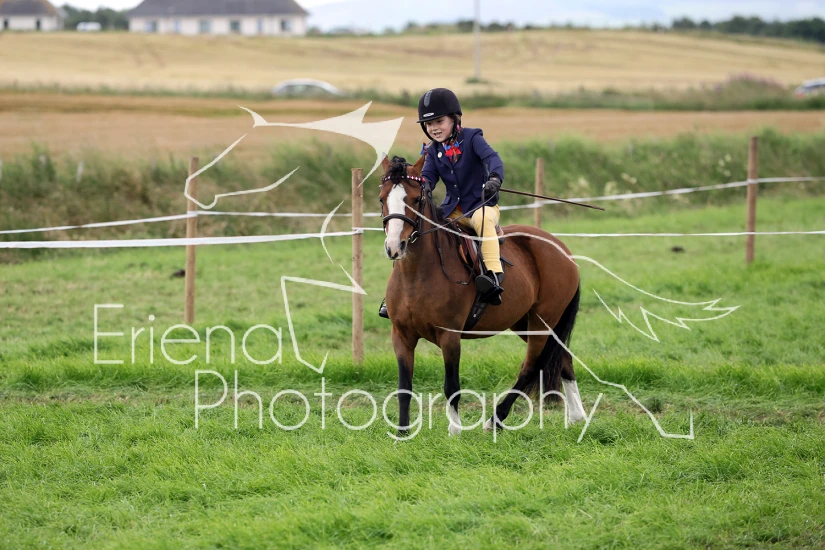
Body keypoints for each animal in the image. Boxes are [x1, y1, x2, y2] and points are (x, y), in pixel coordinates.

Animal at [378, 154, 588, 437]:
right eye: (382, 198)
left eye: (414, 200)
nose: (394, 247)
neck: (417, 274)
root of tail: (561, 248)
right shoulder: (401, 335)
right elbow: (404, 387)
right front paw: (402, 433)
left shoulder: (450, 337)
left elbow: (451, 386)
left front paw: (454, 432)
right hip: (524, 322)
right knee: (563, 357)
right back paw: (577, 417)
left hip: (542, 323)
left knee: (531, 365)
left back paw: (496, 420)